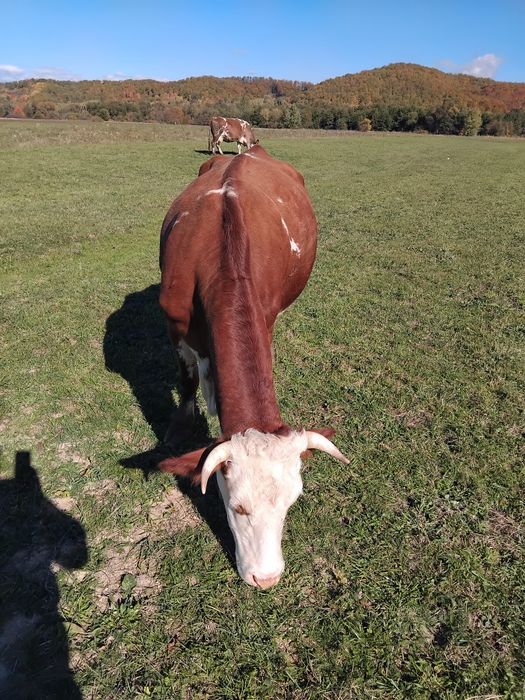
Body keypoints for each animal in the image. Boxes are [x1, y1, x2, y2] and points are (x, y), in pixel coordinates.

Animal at [158, 145, 349, 589]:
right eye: (238, 507)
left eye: (292, 503)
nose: (267, 578)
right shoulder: (175, 327)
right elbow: (186, 380)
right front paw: (181, 421)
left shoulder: (269, 313)